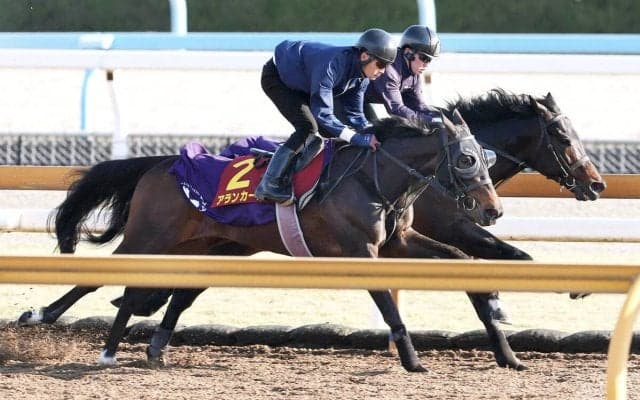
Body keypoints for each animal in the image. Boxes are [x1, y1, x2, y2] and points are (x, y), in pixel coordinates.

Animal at [19, 89, 604, 371]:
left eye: (481, 159)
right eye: (561, 135)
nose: (597, 183)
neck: (386, 174)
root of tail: (162, 162)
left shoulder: (405, 242)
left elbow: (480, 267)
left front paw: (511, 346)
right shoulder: (372, 248)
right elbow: (482, 270)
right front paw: (418, 357)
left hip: (212, 246)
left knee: (162, 294)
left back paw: (150, 346)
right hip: (153, 237)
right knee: (104, 279)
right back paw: (57, 324)